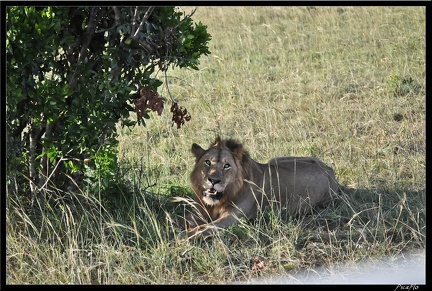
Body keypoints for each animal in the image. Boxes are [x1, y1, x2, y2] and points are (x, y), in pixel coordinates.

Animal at [184, 137, 340, 240]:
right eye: (207, 162)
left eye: (227, 165)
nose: (213, 180)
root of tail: (330, 170)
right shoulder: (198, 210)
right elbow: (190, 220)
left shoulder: (234, 217)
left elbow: (205, 228)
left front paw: (183, 237)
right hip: (275, 160)